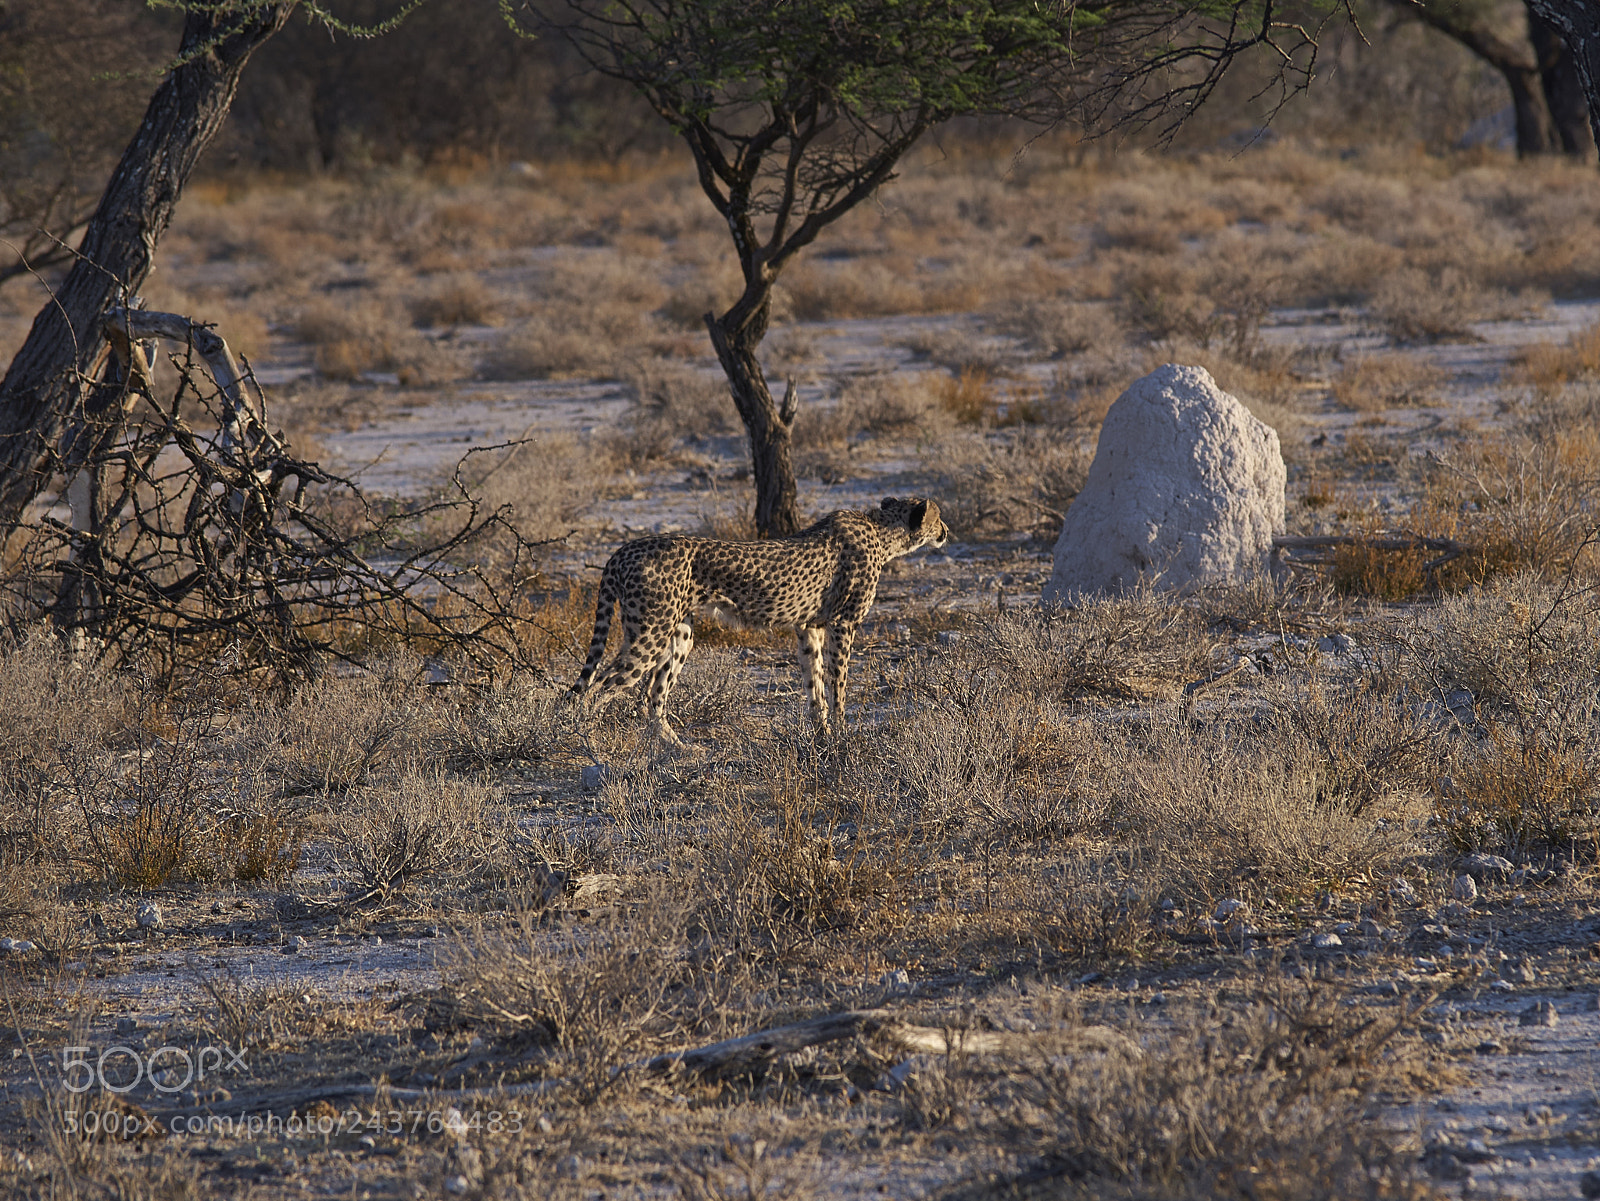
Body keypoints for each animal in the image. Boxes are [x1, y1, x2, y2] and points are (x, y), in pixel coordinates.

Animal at [569, 496, 951, 744]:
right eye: (938, 516)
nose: (946, 530)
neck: (883, 534)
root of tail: (623, 549)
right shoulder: (843, 625)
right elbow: (838, 685)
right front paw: (843, 735)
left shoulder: (809, 628)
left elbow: (814, 685)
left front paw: (823, 734)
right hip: (649, 634)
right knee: (596, 689)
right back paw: (586, 740)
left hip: (678, 633)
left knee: (652, 693)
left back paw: (675, 748)